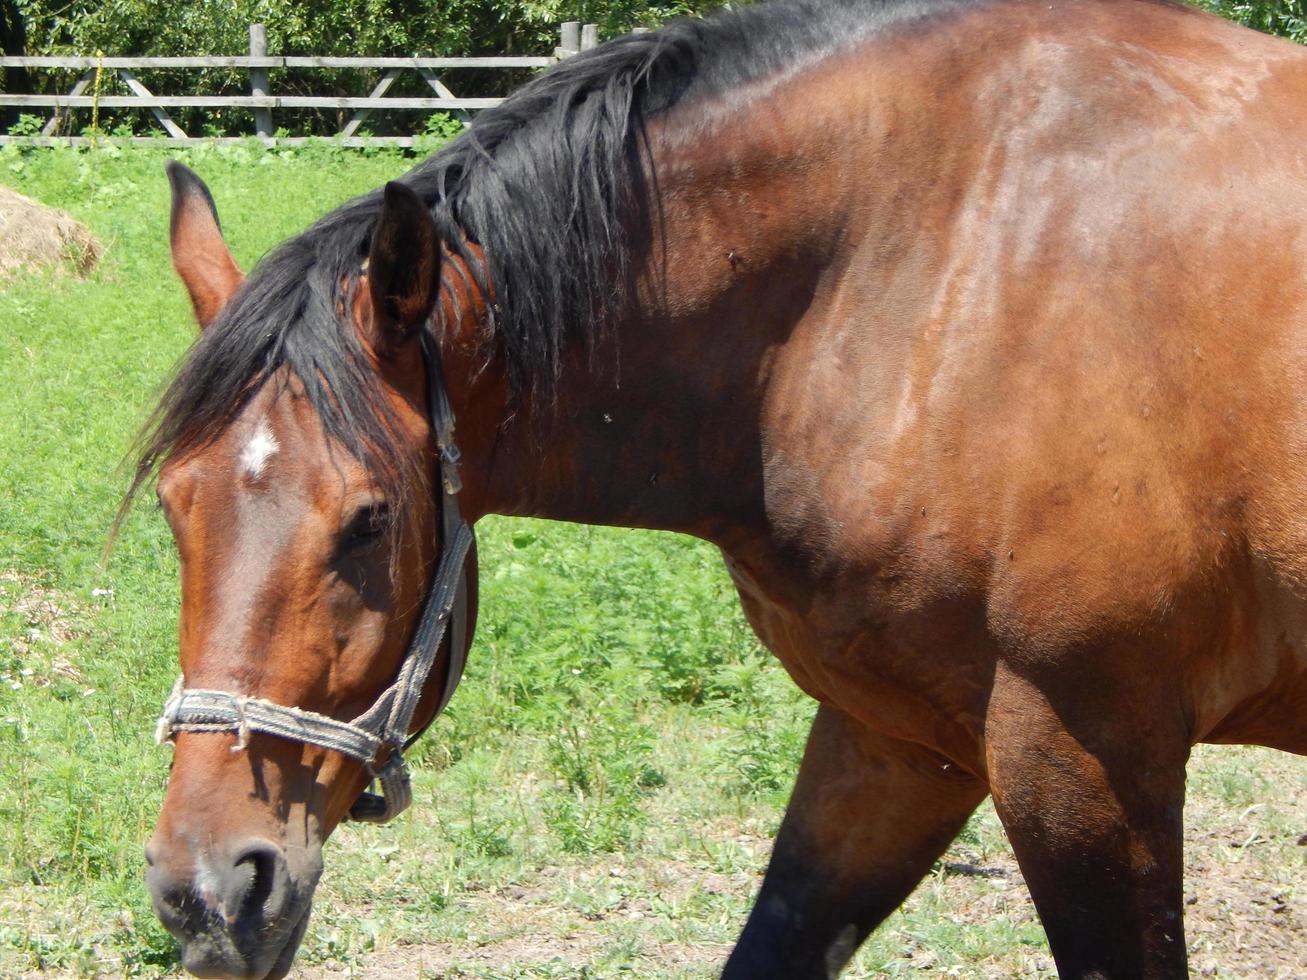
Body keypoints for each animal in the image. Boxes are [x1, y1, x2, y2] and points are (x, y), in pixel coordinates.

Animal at [135, 0, 1307, 977]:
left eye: (369, 522)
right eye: (173, 509)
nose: (208, 890)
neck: (945, 266)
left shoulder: (1089, 753)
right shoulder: (894, 738)